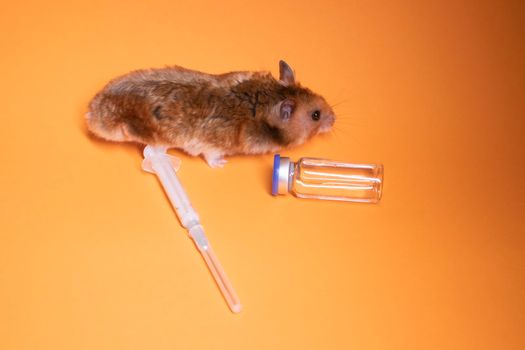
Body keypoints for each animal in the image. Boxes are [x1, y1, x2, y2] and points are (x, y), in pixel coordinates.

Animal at [85, 59, 332, 167]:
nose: (335, 119)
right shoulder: (211, 145)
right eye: (316, 116)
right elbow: (212, 157)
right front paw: (223, 164)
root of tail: (90, 113)